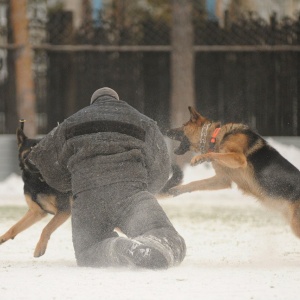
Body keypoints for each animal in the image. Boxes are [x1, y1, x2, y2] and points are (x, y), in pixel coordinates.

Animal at [0, 122, 72, 258]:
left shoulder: (64, 210)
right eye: (31, 148)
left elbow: (46, 228)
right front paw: (2, 238)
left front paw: (39, 248)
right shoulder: (36, 212)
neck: (36, 180)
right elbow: (14, 227)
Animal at [168, 106, 300, 238]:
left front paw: (200, 158)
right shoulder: (222, 180)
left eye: (183, 125)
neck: (215, 137)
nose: (167, 130)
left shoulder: (238, 158)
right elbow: (197, 183)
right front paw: (178, 189)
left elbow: (214, 154)